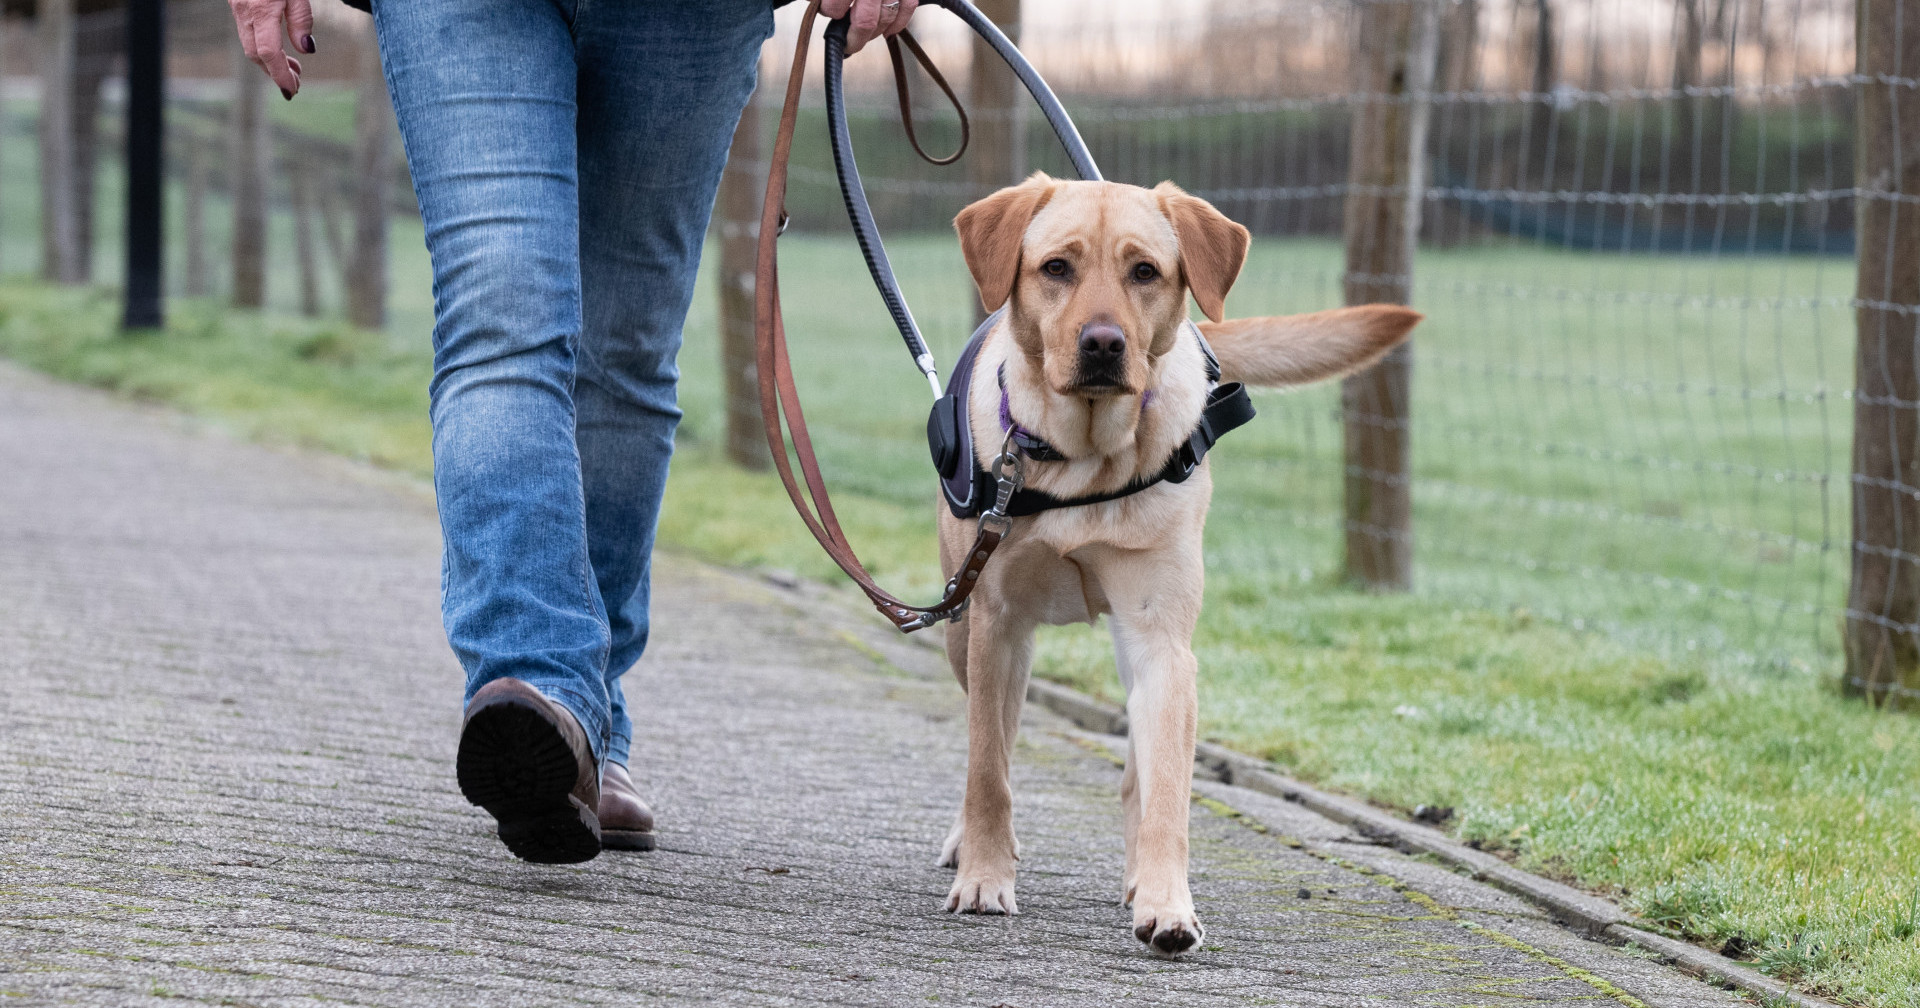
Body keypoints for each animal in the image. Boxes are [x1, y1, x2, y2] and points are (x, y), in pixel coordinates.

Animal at [936, 170, 1420, 952]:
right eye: (1056, 268)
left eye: (1145, 272)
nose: (1104, 344)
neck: (1087, 463)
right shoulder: (996, 621)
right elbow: (990, 769)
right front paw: (984, 875)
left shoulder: (1162, 639)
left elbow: (1166, 789)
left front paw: (1167, 903)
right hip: (961, 628)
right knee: (996, 738)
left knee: (1136, 768)